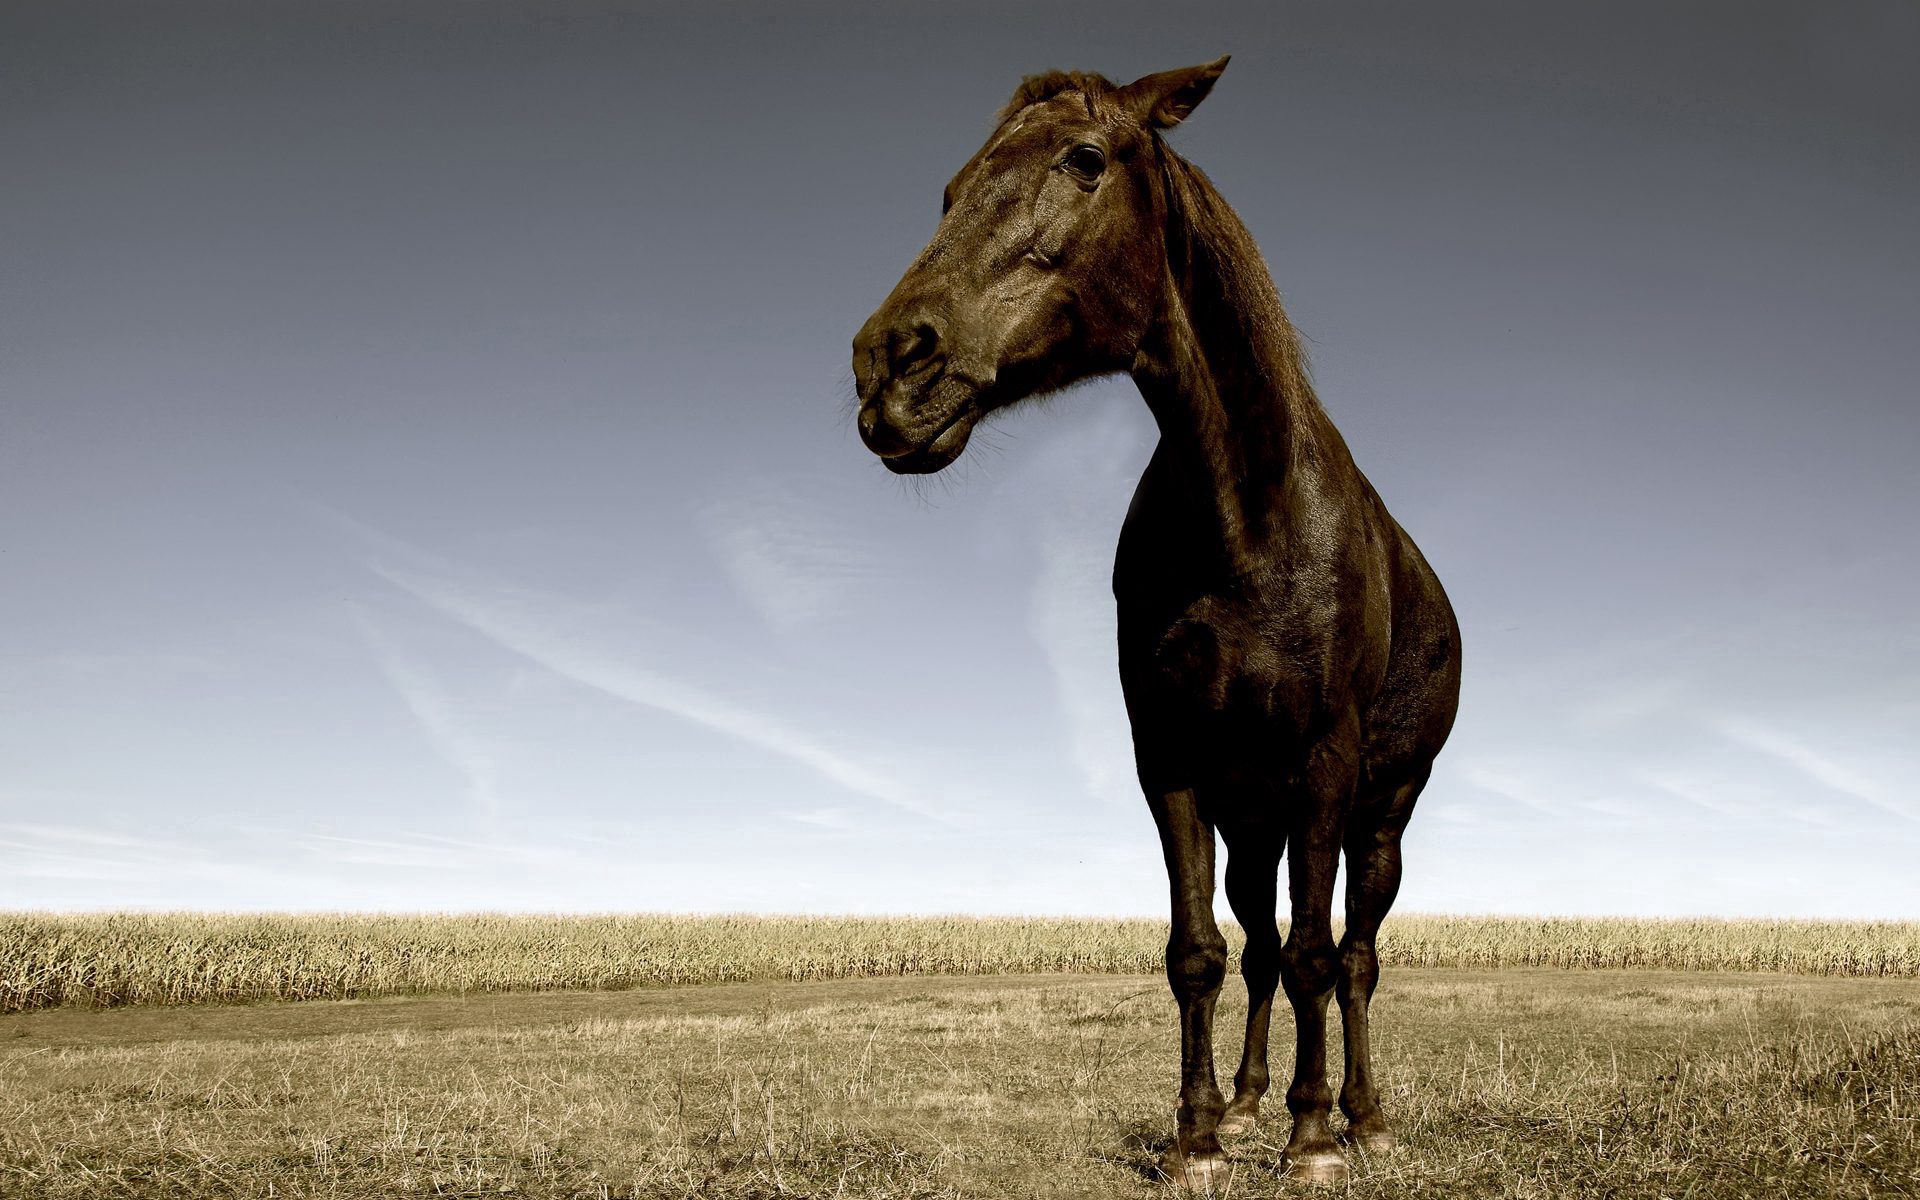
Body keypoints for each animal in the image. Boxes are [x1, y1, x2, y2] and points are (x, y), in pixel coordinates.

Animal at [848, 58, 1459, 1190]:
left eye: (1084, 159)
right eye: (950, 190)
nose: (889, 365)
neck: (1248, 518)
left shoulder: (1325, 763)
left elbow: (1319, 953)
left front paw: (1313, 1143)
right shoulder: (1171, 761)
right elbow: (1198, 953)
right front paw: (1201, 1137)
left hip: (1381, 812)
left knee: (1353, 956)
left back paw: (1360, 1116)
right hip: (1254, 821)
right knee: (1261, 948)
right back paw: (1260, 1100)